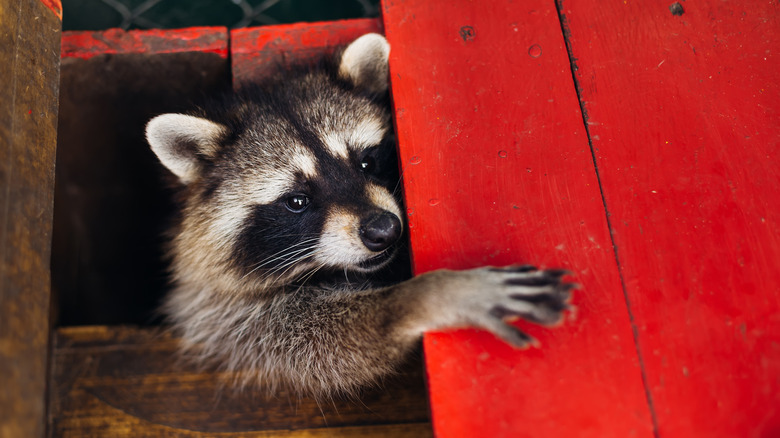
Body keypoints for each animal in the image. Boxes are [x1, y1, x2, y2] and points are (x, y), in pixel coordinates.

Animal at [146, 32, 572, 398]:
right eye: (296, 201)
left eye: (366, 162)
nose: (384, 230)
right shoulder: (221, 312)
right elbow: (314, 345)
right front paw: (424, 296)